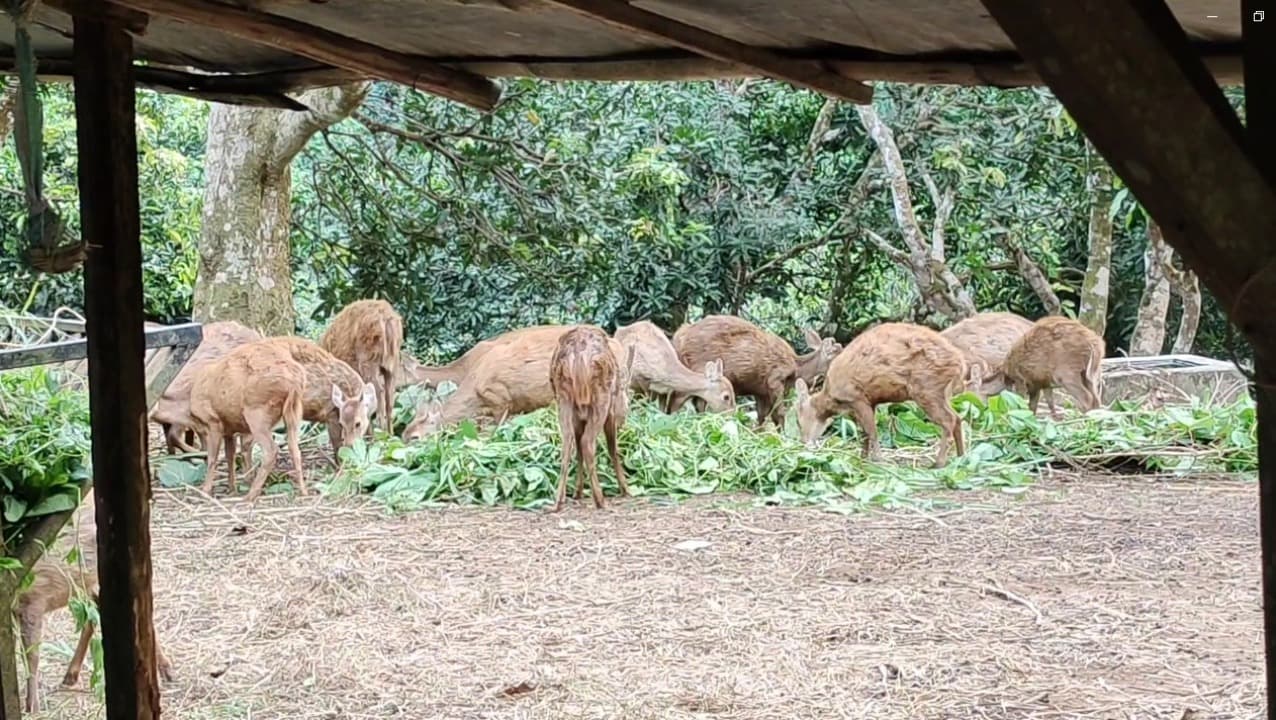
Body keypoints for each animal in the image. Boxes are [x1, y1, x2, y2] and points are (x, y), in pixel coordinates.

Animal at [16, 492, 174, 709]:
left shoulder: (33, 600)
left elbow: (31, 656)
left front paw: (33, 706)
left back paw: (167, 670)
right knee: (95, 614)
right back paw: (70, 675)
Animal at [187, 337, 307, 500]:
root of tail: (294, 381)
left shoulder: (213, 422)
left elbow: (213, 457)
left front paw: (205, 491)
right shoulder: (229, 429)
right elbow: (230, 455)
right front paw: (231, 489)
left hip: (257, 412)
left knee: (271, 450)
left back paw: (251, 495)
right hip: (295, 410)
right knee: (295, 449)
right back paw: (303, 491)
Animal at [319, 298, 403, 434]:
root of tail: (384, 318)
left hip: (368, 361)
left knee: (378, 393)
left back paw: (379, 433)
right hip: (393, 363)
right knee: (390, 397)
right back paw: (390, 434)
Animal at [548, 322, 632, 508]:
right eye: (628, 401)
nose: (624, 419)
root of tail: (577, 357)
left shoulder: (578, 417)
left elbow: (577, 449)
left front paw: (577, 492)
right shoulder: (611, 411)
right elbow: (613, 447)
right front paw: (626, 489)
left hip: (563, 397)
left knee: (568, 441)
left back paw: (558, 501)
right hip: (600, 398)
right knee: (588, 442)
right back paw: (600, 499)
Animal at [668, 316, 837, 426]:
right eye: (836, 352)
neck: (796, 369)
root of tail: (679, 336)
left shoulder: (761, 391)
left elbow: (762, 416)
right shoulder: (774, 379)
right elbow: (779, 415)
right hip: (701, 367)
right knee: (699, 401)